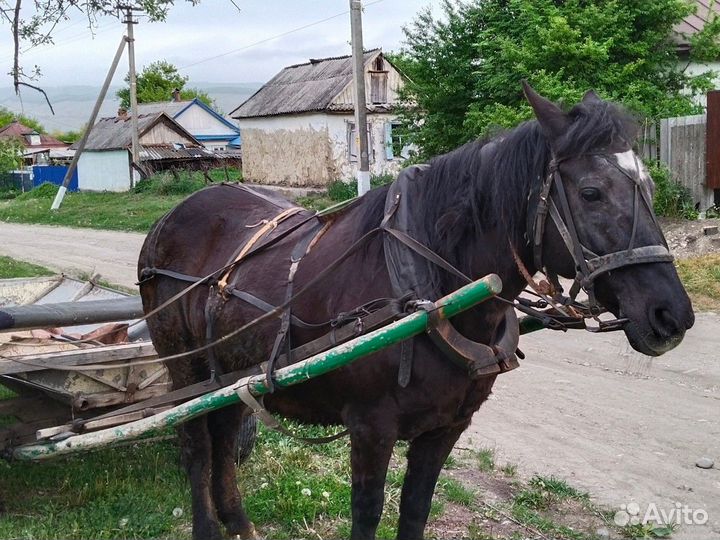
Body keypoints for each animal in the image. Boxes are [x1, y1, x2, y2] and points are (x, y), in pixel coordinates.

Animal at [138, 84, 694, 540]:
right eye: (591, 192)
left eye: (648, 187)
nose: (673, 316)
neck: (428, 291)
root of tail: (169, 218)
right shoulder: (369, 428)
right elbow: (367, 515)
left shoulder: (445, 428)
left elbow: (415, 510)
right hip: (186, 367)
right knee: (196, 445)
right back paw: (208, 527)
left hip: (229, 372)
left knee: (225, 430)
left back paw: (237, 521)